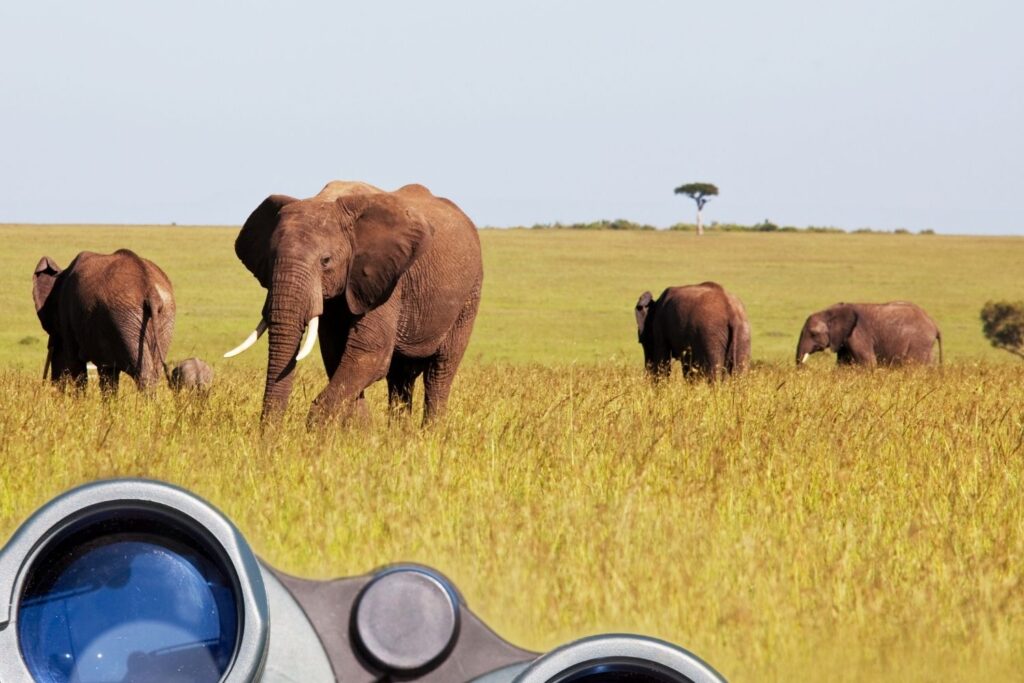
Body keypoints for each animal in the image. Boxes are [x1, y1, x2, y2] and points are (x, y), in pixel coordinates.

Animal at [32, 250, 175, 393]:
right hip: (161, 318)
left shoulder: (67, 315)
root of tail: (151, 290)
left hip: (125, 319)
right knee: (154, 371)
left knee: (143, 373)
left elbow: (76, 365)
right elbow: (107, 374)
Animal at [225, 180, 483, 425]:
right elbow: (337, 354)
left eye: (326, 261)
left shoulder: (386, 280)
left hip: (469, 295)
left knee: (439, 371)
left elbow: (369, 353)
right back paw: (399, 436)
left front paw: (321, 432)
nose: (270, 438)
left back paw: (430, 433)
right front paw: (362, 433)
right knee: (401, 376)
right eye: (270, 259)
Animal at [795, 302, 942, 366]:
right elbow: (842, 366)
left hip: (919, 342)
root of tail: (934, 324)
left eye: (813, 334)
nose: (804, 367)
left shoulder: (858, 335)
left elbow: (869, 364)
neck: (830, 312)